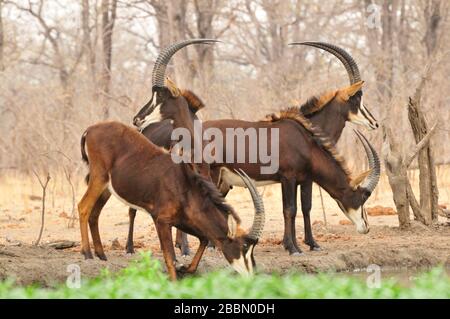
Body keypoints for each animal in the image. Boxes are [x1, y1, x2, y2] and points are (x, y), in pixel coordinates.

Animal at [77, 121, 264, 282]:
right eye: (244, 246)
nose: (252, 275)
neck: (185, 185)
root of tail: (90, 129)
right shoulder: (161, 220)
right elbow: (169, 258)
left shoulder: (182, 221)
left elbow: (203, 240)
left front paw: (185, 269)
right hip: (98, 178)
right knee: (83, 207)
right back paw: (87, 253)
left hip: (106, 188)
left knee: (95, 213)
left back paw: (101, 254)